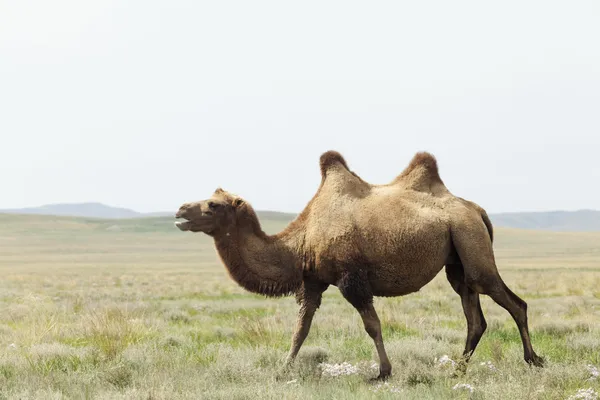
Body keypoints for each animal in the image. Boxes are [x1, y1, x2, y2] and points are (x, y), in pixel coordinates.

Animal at [173, 150, 544, 378]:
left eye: (213, 205)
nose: (179, 210)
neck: (301, 241)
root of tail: (477, 210)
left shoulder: (351, 278)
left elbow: (372, 325)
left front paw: (382, 372)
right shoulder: (312, 281)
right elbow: (301, 328)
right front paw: (282, 370)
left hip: (470, 240)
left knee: (512, 301)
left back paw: (534, 360)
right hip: (457, 257)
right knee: (474, 314)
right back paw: (457, 370)